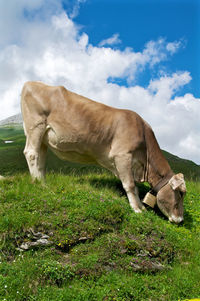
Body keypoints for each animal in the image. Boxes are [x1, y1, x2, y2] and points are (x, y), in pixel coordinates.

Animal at [20, 81, 186, 223]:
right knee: (31, 153)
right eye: (180, 192)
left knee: (40, 159)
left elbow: (134, 187)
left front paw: (141, 207)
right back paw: (39, 184)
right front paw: (136, 209)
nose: (180, 220)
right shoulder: (122, 155)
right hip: (35, 126)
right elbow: (130, 185)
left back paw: (43, 181)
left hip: (43, 138)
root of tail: (30, 83)